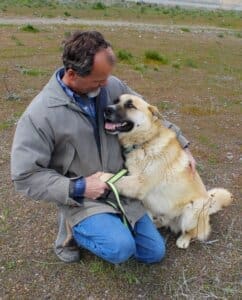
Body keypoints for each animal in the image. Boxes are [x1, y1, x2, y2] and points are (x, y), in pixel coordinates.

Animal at [100, 94, 233, 248]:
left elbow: (112, 178)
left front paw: (97, 178)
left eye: (130, 105)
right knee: (164, 222)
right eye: (116, 101)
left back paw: (183, 240)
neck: (145, 142)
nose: (106, 109)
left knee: (192, 232)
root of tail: (208, 205)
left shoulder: (139, 184)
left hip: (192, 211)